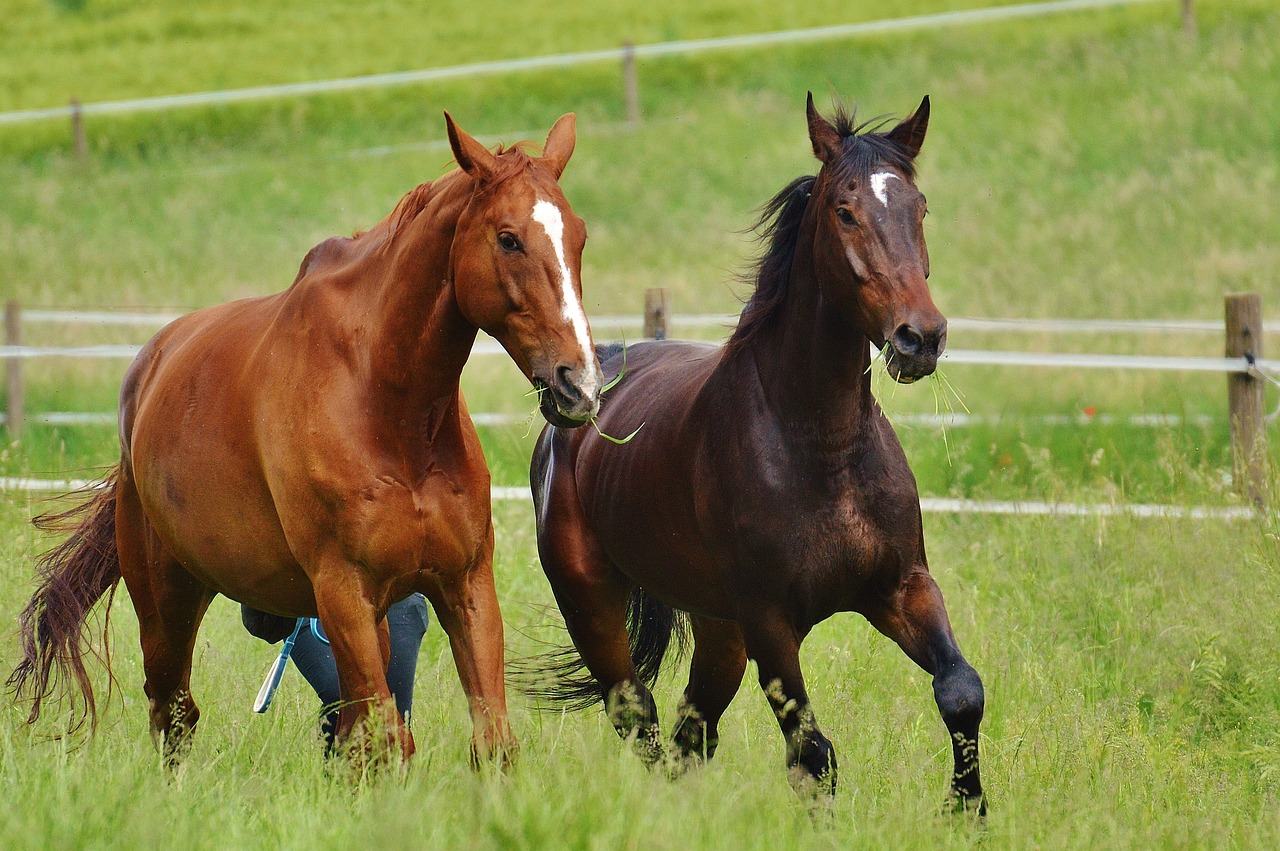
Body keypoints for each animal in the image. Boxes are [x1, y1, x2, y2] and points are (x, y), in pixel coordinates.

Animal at [9, 111, 604, 766]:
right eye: (508, 238)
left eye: (577, 238)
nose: (579, 384)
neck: (390, 410)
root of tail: (146, 376)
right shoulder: (343, 593)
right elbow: (383, 743)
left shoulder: (464, 586)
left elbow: (489, 741)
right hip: (169, 603)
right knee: (174, 714)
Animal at [527, 94, 984, 809]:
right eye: (845, 211)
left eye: (920, 208)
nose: (920, 338)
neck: (820, 447)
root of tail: (575, 398)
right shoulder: (772, 623)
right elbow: (814, 755)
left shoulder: (902, 588)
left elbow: (961, 692)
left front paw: (968, 811)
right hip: (594, 605)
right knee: (640, 717)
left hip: (720, 630)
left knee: (691, 732)